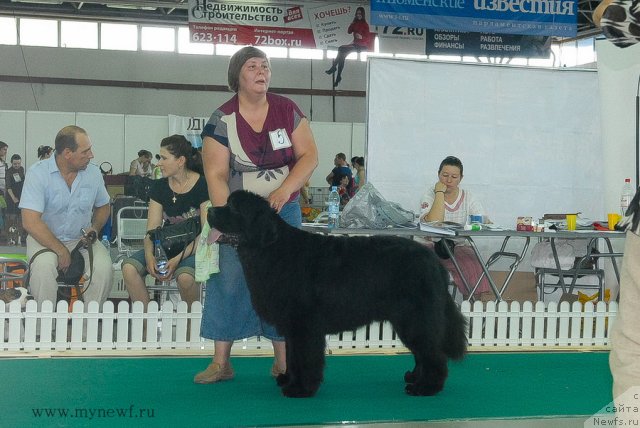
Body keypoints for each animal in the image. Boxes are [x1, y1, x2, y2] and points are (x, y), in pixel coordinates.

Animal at [209, 191, 464, 398]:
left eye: (234, 208)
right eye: (227, 202)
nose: (210, 210)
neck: (271, 249)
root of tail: (433, 261)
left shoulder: (304, 325)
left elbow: (305, 358)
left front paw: (300, 389)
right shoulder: (292, 327)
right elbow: (292, 356)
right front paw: (288, 379)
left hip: (415, 318)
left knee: (433, 353)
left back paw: (426, 387)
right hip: (408, 320)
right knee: (422, 351)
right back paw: (414, 376)